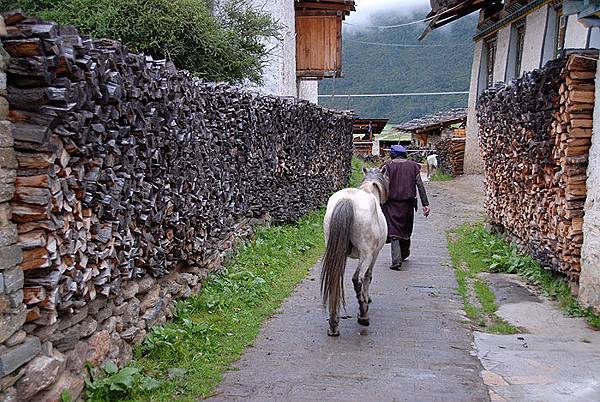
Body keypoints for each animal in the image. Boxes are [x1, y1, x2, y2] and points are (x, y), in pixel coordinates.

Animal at [324, 166, 390, 336]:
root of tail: (347, 200)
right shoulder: (374, 255)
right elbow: (368, 277)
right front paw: (366, 302)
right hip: (366, 256)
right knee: (357, 279)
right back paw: (363, 315)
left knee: (334, 279)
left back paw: (334, 325)